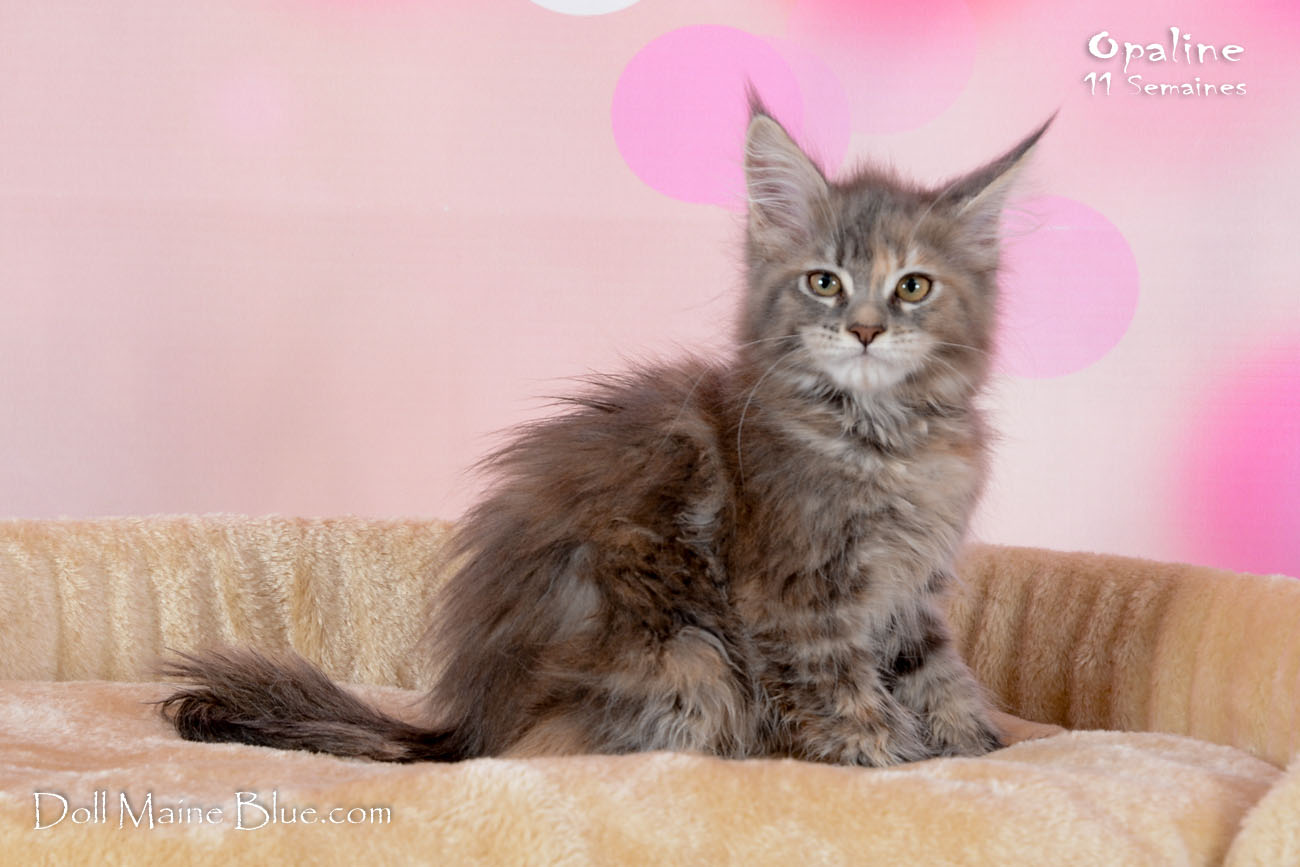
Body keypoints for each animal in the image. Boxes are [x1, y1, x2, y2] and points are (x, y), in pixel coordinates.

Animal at [161, 96, 1051, 766]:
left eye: (913, 286)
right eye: (824, 282)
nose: (866, 329)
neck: (882, 441)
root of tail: (466, 728)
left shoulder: (912, 591)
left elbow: (937, 673)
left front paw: (974, 744)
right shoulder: (796, 592)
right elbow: (839, 685)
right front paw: (880, 755)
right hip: (687, 657)